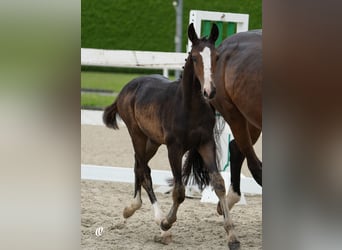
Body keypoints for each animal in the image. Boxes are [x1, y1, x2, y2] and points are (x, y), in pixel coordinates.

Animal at [103, 23, 239, 248]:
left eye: (217, 57)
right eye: (195, 57)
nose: (209, 91)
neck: (188, 107)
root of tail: (127, 87)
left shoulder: (206, 143)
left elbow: (219, 183)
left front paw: (232, 236)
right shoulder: (174, 148)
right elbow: (179, 191)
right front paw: (166, 223)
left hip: (152, 141)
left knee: (138, 166)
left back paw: (132, 208)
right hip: (137, 135)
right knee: (144, 170)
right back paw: (157, 222)